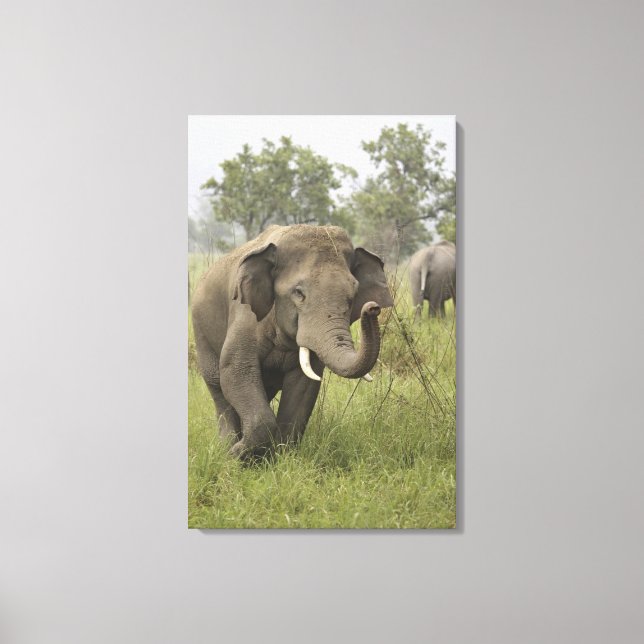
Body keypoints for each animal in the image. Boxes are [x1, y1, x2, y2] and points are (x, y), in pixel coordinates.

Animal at [191, 224, 394, 460]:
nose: (373, 308)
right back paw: (227, 448)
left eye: (353, 296)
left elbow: (304, 385)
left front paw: (279, 458)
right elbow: (236, 370)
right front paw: (238, 456)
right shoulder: (244, 314)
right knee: (218, 387)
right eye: (298, 293)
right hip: (201, 333)